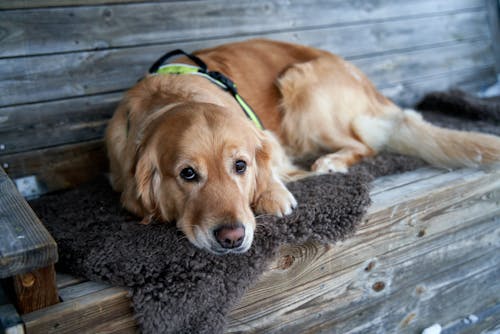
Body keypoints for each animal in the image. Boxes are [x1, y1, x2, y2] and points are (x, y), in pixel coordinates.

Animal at [106, 38, 500, 253]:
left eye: (240, 166)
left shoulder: (267, 137)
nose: (232, 237)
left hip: (302, 87)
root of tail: (371, 88)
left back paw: (329, 162)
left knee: (363, 144)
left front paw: (274, 192)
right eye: (187, 174)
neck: (173, 96)